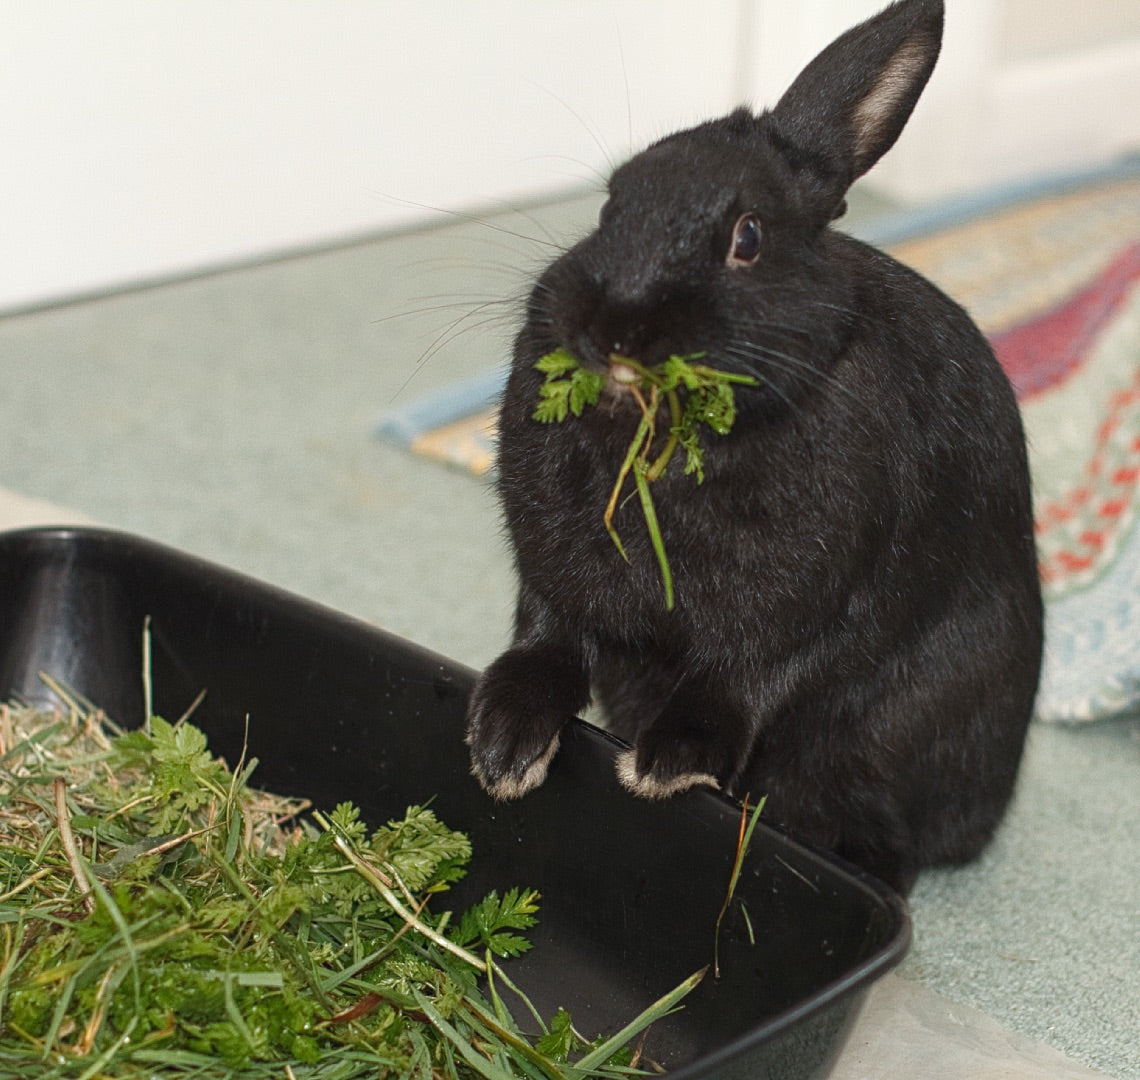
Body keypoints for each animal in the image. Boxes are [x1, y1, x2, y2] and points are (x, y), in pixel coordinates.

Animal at [460, 0, 1044, 894]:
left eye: (750, 236)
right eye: (609, 208)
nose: (613, 330)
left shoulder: (804, 613)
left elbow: (744, 679)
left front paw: (666, 766)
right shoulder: (556, 578)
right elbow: (547, 640)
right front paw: (502, 745)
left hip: (885, 747)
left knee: (880, 835)